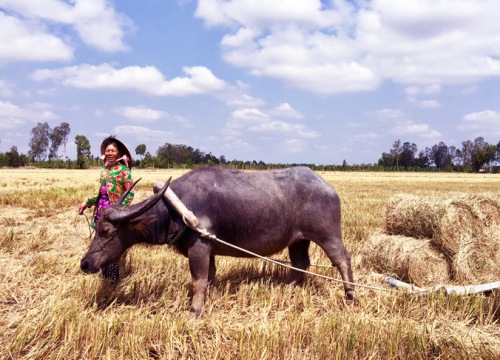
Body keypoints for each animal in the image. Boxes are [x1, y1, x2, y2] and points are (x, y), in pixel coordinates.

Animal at [80, 167, 356, 316]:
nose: (85, 263)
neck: (175, 209)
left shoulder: (199, 248)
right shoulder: (208, 250)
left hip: (328, 234)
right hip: (298, 240)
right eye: (97, 227)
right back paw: (287, 289)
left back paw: (351, 295)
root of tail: (327, 187)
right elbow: (210, 278)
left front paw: (194, 311)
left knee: (342, 259)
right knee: (300, 263)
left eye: (106, 230)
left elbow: (198, 279)